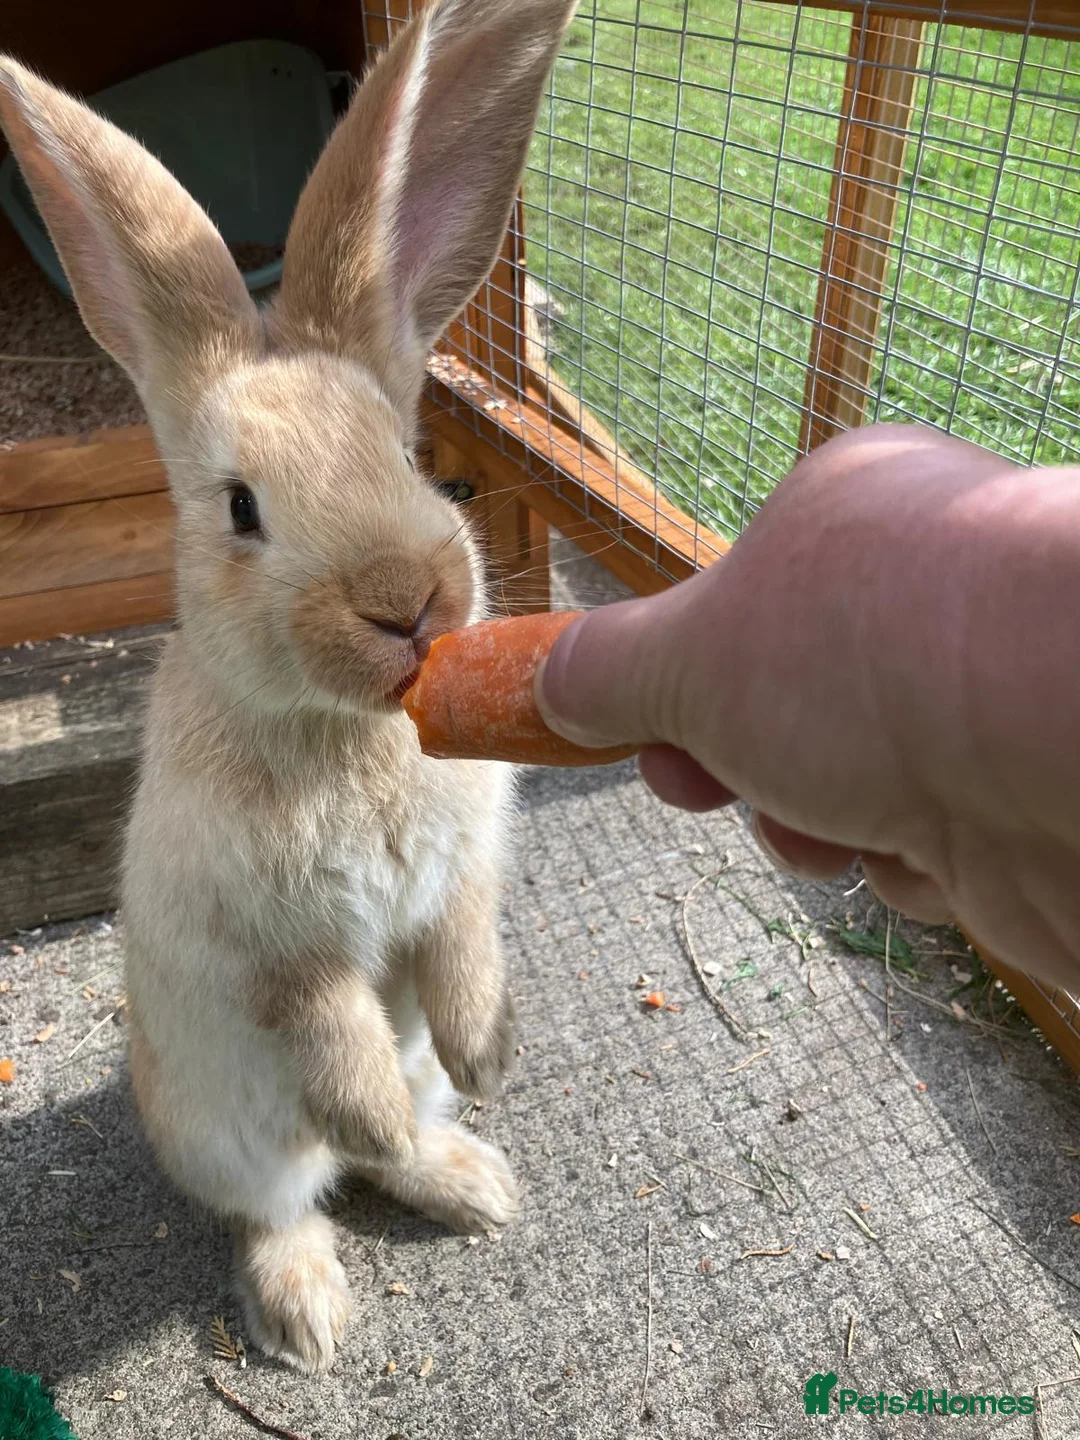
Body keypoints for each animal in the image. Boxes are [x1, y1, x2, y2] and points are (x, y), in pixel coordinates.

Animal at [0, 0, 577, 1374]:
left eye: (410, 455)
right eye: (241, 509)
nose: (408, 601)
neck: (348, 729)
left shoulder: (465, 873)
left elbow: (462, 941)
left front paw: (493, 1056)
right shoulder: (267, 940)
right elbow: (320, 1014)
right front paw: (375, 1110)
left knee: (384, 1154)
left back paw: (468, 1175)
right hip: (227, 1131)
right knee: (288, 1198)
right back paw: (311, 1309)